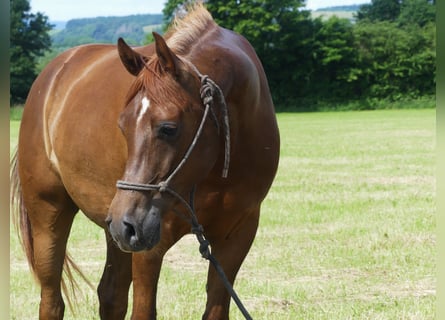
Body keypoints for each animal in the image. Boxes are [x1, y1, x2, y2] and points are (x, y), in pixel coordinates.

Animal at [11, 3, 278, 320]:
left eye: (168, 128)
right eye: (122, 126)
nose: (126, 224)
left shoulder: (236, 237)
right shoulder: (150, 245)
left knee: (110, 295)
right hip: (54, 215)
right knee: (52, 300)